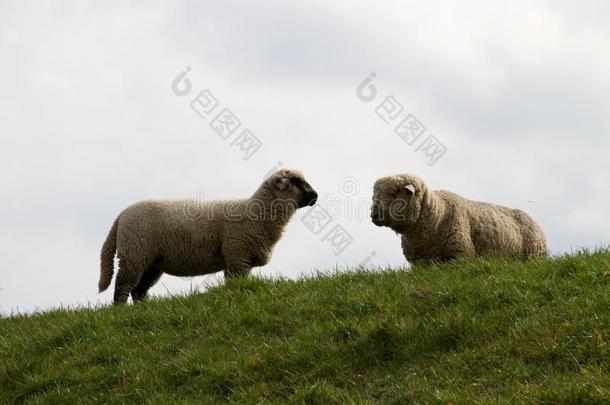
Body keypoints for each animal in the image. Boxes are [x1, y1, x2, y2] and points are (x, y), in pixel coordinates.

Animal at [98, 168, 318, 304]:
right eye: (296, 182)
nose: (315, 196)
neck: (256, 214)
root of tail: (121, 216)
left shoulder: (240, 260)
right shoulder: (237, 257)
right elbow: (236, 285)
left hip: (151, 262)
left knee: (139, 290)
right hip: (134, 253)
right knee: (123, 286)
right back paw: (120, 311)